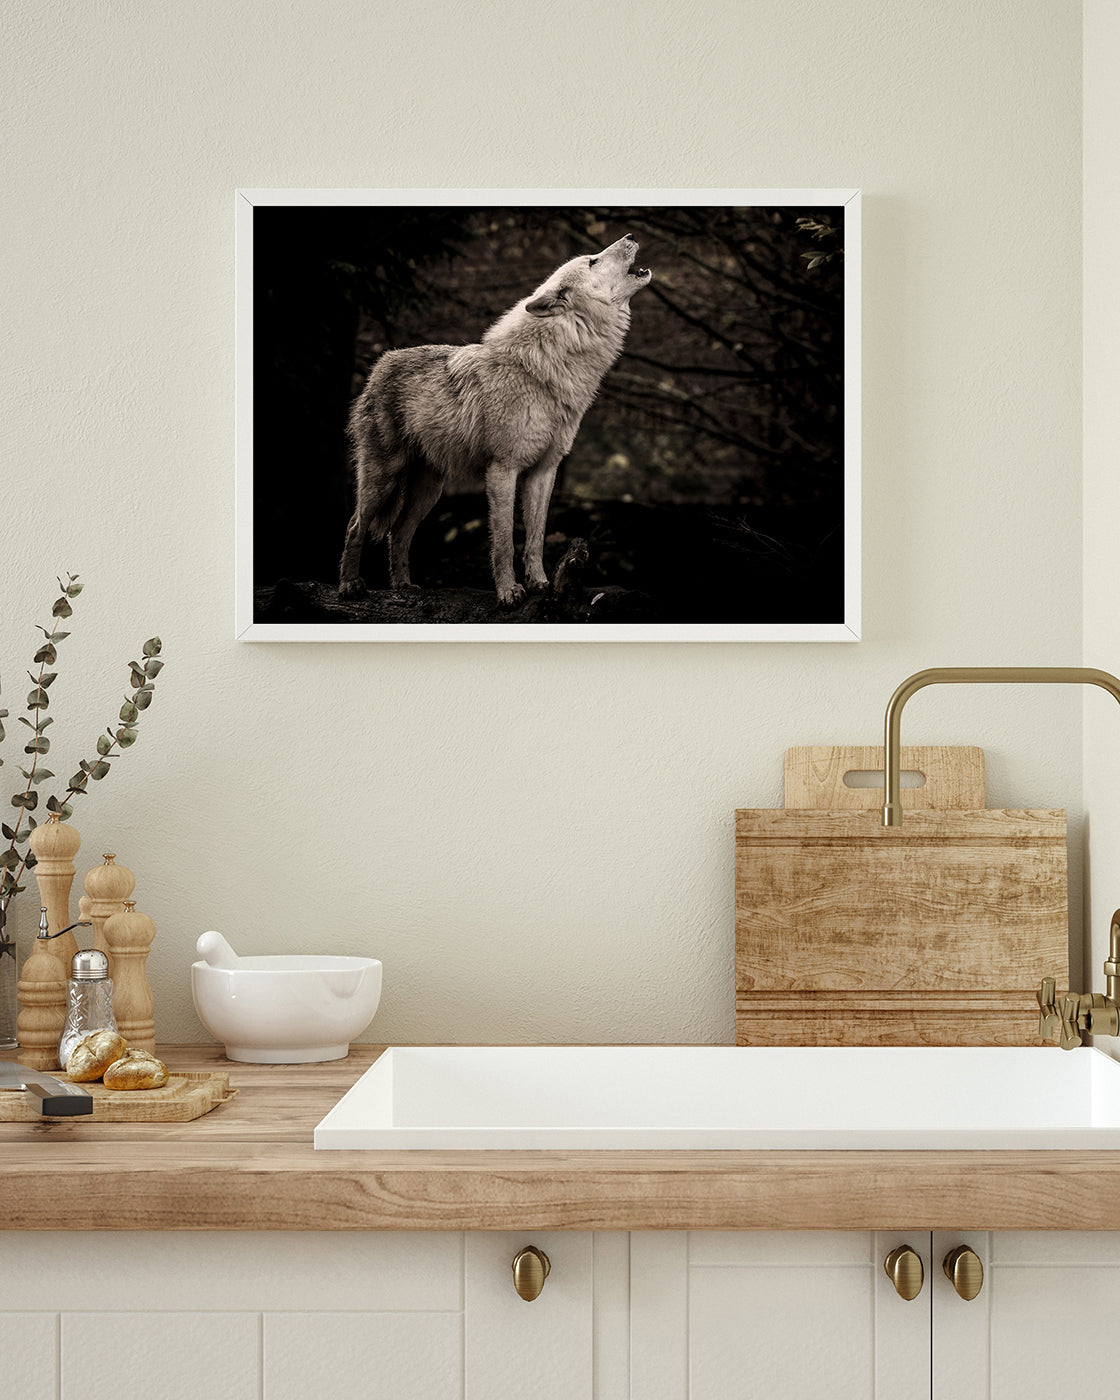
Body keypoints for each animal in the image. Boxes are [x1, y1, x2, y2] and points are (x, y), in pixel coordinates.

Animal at [339, 232, 651, 607]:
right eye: (593, 260)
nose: (630, 235)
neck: (546, 370)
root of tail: (381, 364)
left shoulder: (544, 471)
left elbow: (535, 538)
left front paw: (540, 584)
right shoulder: (503, 469)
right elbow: (503, 541)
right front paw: (508, 592)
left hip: (430, 490)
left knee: (398, 532)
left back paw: (403, 586)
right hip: (382, 478)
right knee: (355, 526)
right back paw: (349, 586)